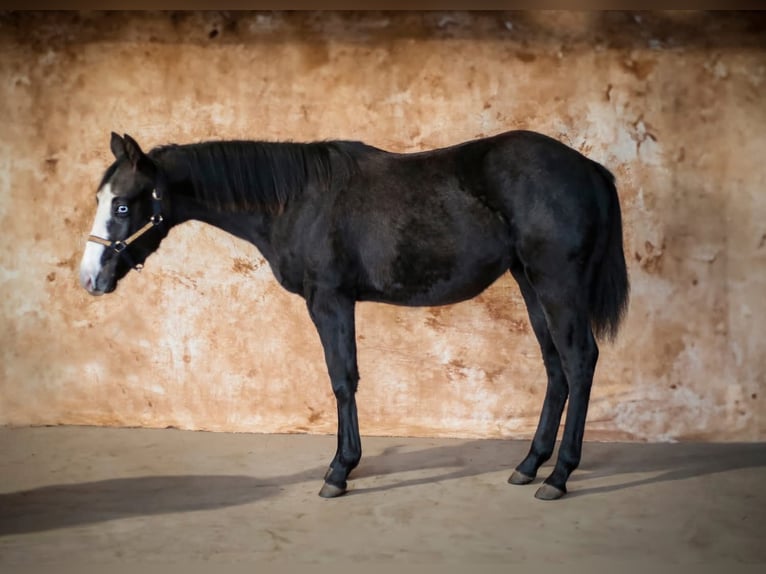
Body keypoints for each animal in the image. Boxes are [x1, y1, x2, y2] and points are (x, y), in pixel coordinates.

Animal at [79, 130, 629, 500]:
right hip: (530, 284)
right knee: (556, 367)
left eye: (123, 206)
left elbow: (342, 379)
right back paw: (530, 464)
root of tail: (589, 168)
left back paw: (559, 476)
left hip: (556, 284)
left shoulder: (330, 299)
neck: (295, 201)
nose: (89, 278)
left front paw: (340, 471)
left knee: (580, 361)